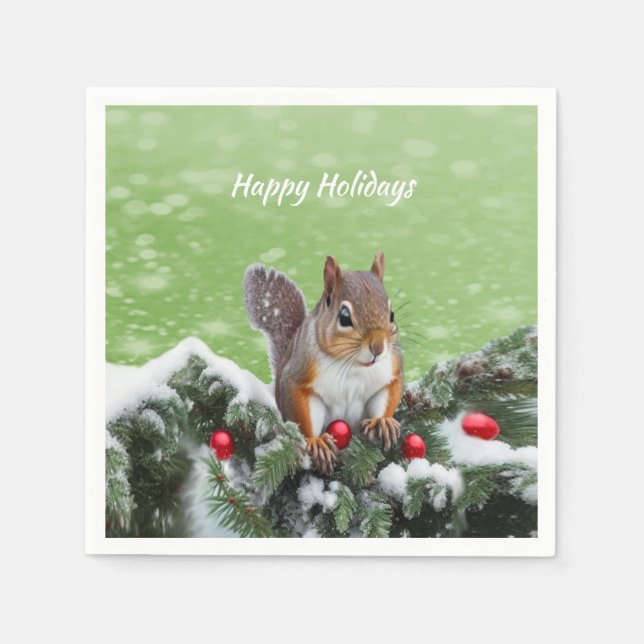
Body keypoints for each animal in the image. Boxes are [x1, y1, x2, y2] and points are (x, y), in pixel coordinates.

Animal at [243, 252, 403, 473]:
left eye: (392, 315)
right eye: (344, 317)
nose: (378, 348)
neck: (353, 364)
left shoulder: (391, 371)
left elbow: (390, 391)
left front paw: (383, 421)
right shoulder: (297, 375)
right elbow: (300, 409)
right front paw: (315, 442)